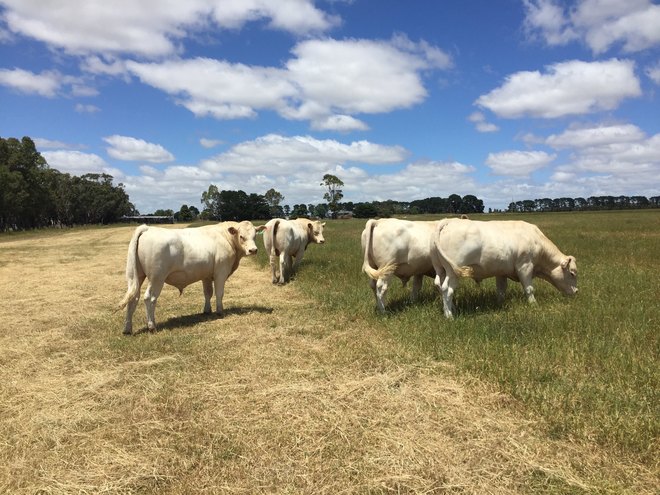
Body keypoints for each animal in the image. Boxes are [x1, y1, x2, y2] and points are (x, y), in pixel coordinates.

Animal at [119, 221, 266, 334]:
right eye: (241, 236)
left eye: (255, 236)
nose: (253, 250)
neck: (225, 238)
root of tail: (147, 228)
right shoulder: (221, 272)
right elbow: (219, 293)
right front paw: (219, 311)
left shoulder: (206, 275)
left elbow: (208, 293)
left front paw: (207, 310)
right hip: (156, 278)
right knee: (149, 298)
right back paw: (151, 326)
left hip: (136, 276)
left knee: (133, 298)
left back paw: (127, 329)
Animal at [430, 218, 578, 318]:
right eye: (572, 273)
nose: (576, 291)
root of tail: (449, 221)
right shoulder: (525, 266)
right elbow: (529, 288)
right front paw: (534, 304)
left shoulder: (501, 272)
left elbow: (501, 290)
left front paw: (500, 304)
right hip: (453, 271)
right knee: (447, 289)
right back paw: (449, 316)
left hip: (441, 269)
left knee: (440, 287)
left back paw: (451, 309)